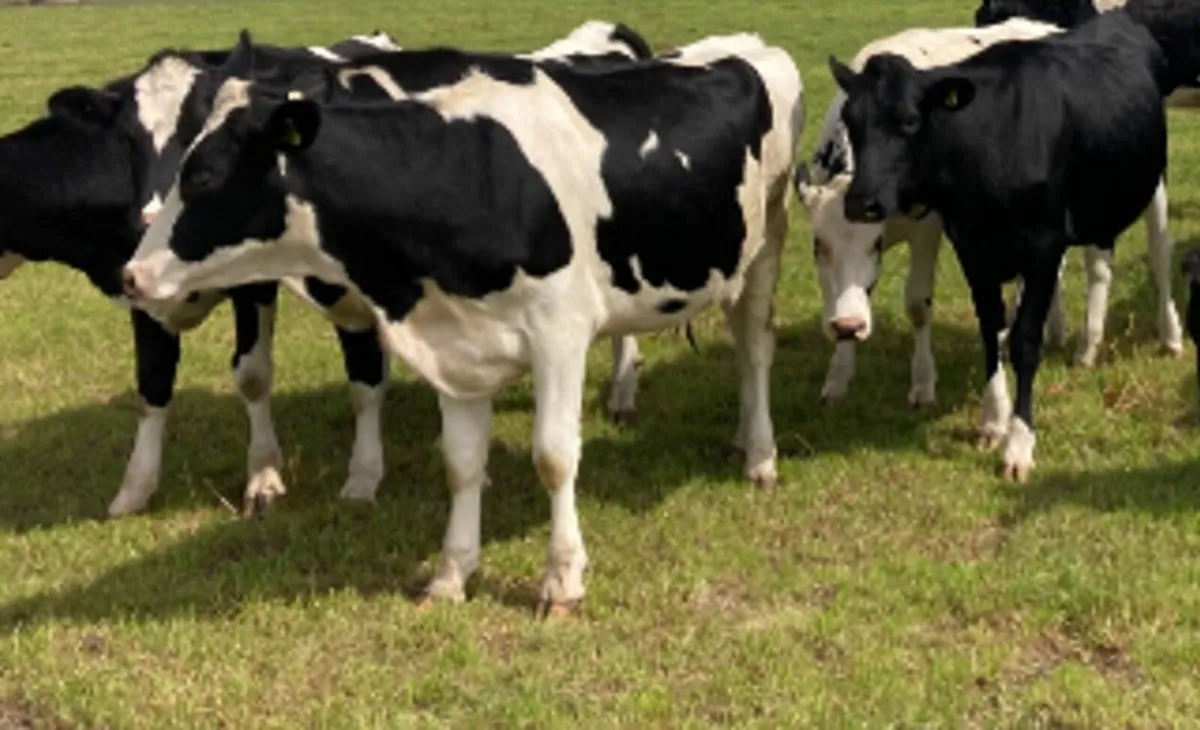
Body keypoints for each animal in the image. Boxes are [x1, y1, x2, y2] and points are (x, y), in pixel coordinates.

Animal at [0, 21, 654, 519]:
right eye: (129, 140)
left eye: (202, 134)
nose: (153, 214)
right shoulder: (140, 286)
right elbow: (153, 385)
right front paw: (135, 488)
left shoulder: (282, 284)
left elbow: (272, 376)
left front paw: (286, 477)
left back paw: (622, 393)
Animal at [121, 31, 803, 613]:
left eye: (202, 174)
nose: (132, 274)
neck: (462, 177)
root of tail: (741, 47)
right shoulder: (453, 345)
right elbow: (462, 462)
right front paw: (452, 573)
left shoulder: (559, 334)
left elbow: (555, 456)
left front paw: (561, 580)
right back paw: (742, 437)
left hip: (766, 243)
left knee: (754, 350)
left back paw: (760, 455)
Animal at [824, 10, 1172, 481]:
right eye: (852, 121)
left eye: (911, 121)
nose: (861, 202)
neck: (991, 142)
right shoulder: (972, 245)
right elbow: (992, 328)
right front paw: (992, 421)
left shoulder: (1044, 243)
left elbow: (1024, 339)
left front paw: (1019, 444)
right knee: (1099, 268)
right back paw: (1085, 346)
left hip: (1153, 185)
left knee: (1159, 254)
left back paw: (1170, 337)